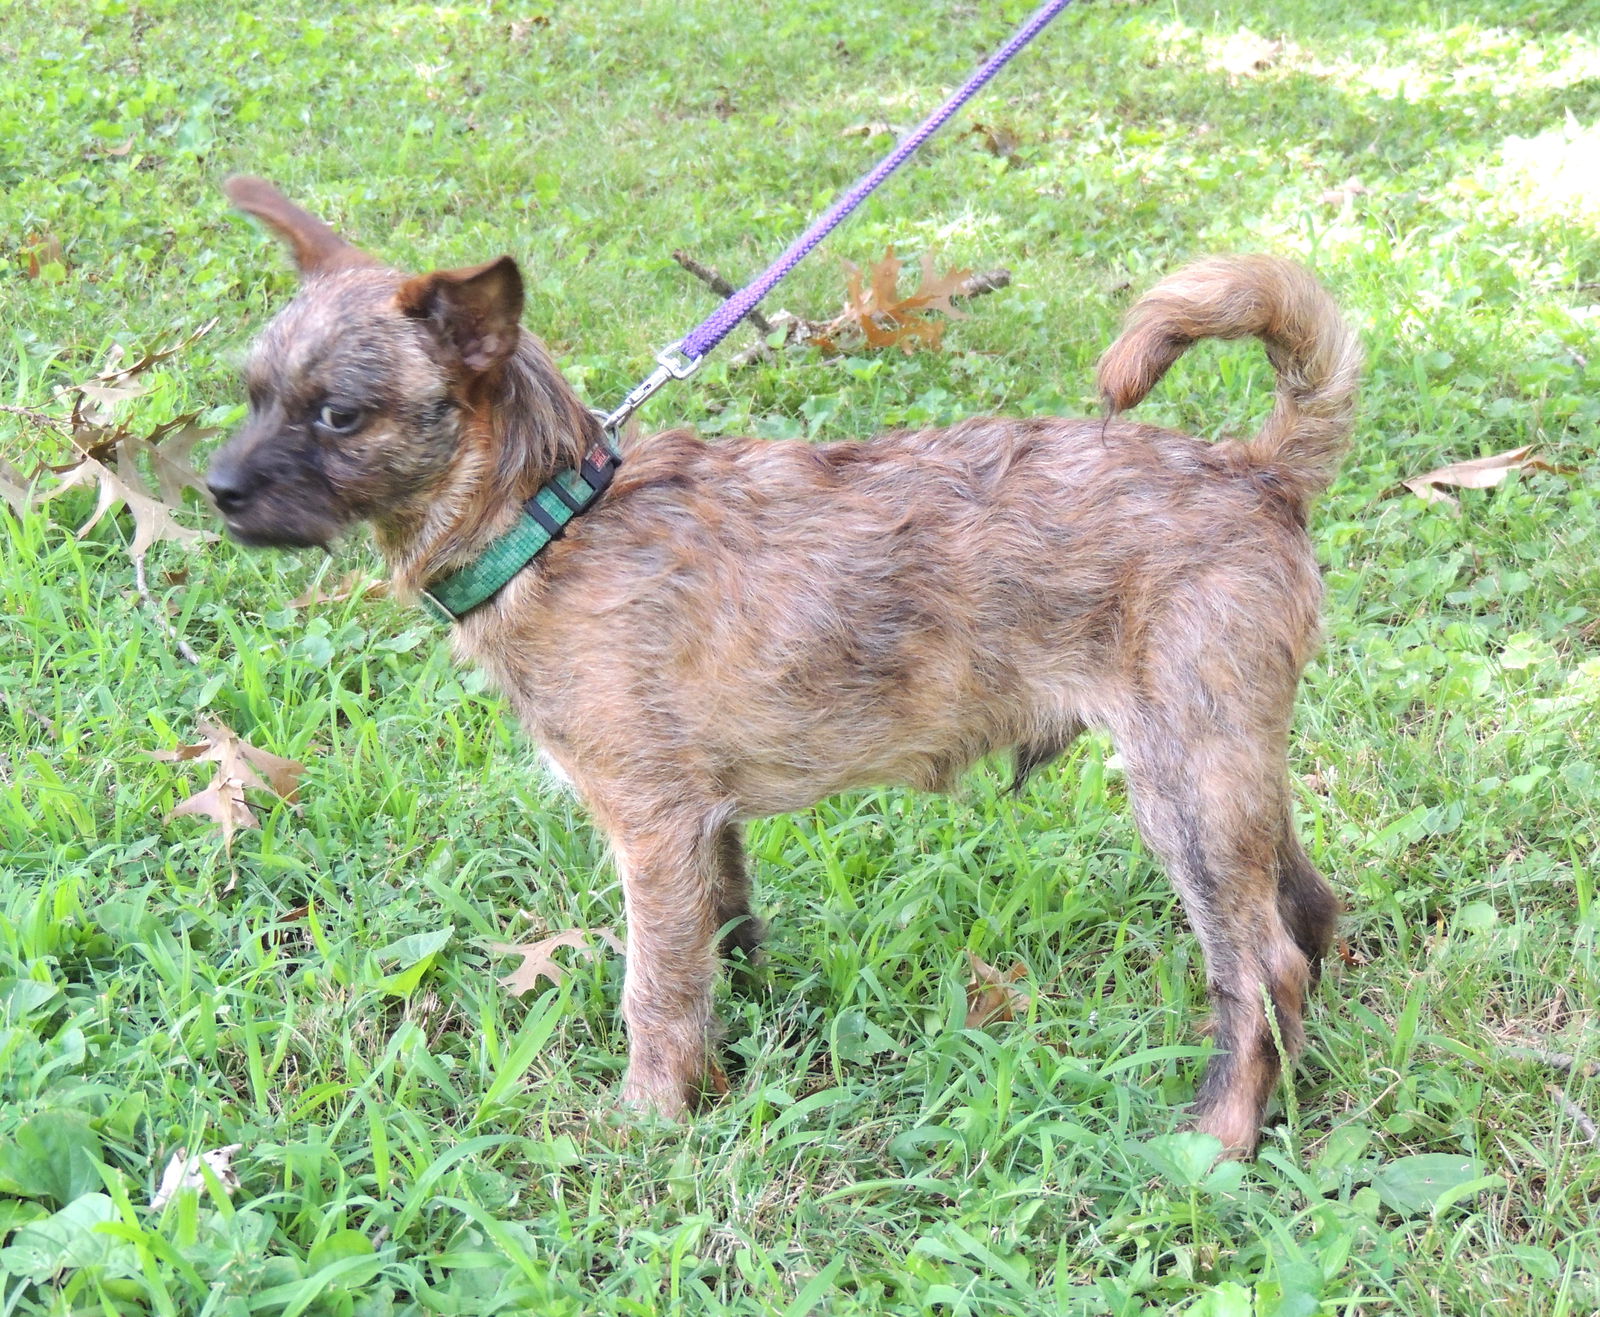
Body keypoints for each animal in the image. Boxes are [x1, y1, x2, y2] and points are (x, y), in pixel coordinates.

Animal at [209, 180, 1363, 1158]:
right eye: (254, 396)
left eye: (338, 415)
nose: (217, 487)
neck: (553, 518)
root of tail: (1255, 472)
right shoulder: (701, 830)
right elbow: (724, 942)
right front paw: (740, 1056)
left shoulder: (652, 828)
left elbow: (657, 989)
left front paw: (648, 1118)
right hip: (1225, 769)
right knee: (1306, 908)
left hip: (1182, 787)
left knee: (1258, 964)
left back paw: (1219, 1134)